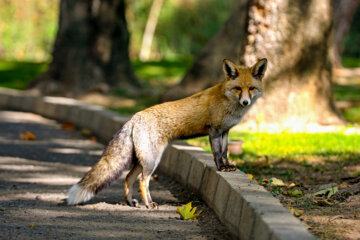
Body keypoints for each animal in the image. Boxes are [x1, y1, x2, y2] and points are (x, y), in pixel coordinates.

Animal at [67, 58, 268, 208]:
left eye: (251, 88)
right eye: (238, 88)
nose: (245, 102)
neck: (229, 103)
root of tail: (134, 118)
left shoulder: (225, 131)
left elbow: (225, 153)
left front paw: (228, 166)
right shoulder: (214, 130)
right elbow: (217, 154)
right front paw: (221, 168)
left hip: (142, 160)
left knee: (128, 178)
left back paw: (131, 202)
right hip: (152, 160)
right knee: (142, 181)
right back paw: (149, 204)